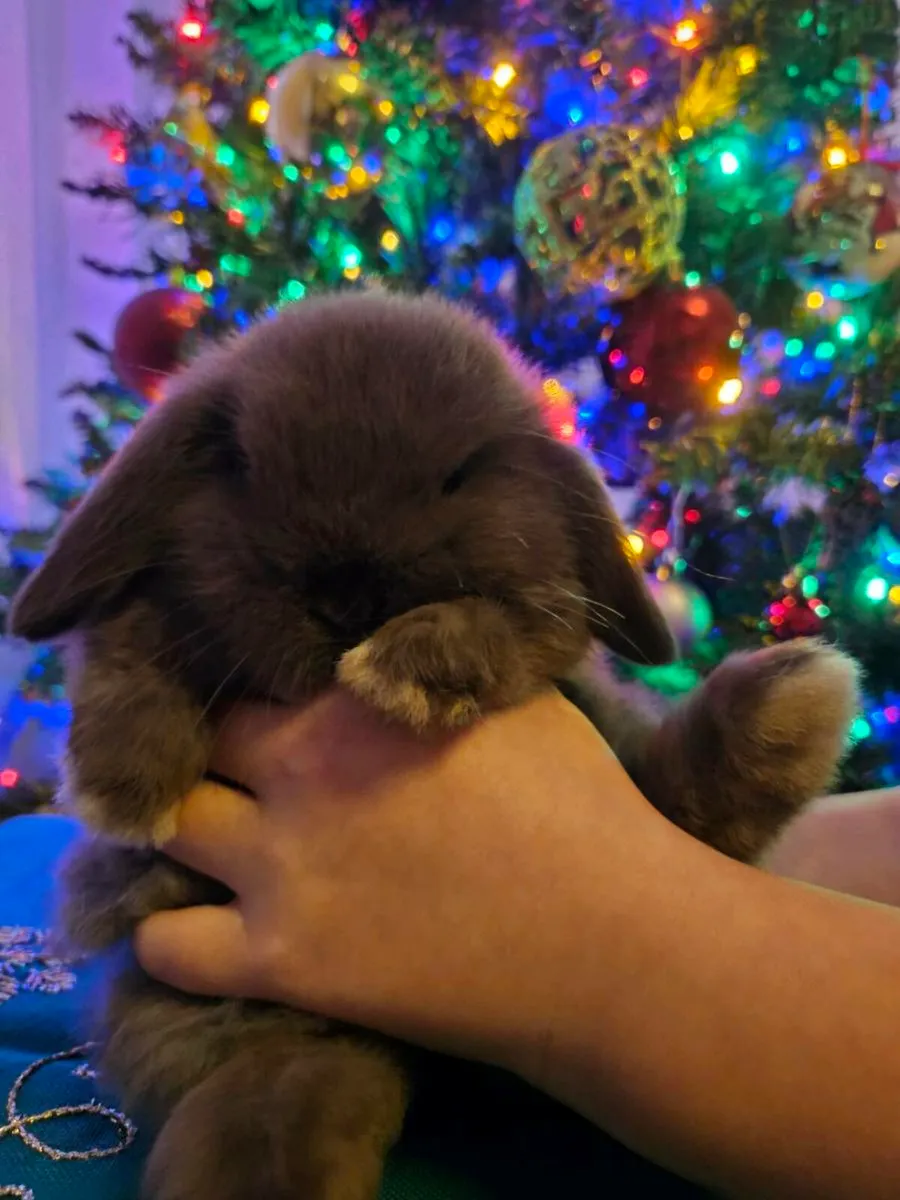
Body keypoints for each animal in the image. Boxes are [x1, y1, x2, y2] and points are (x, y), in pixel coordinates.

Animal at [10, 288, 859, 1200]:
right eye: (239, 466)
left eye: (462, 472)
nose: (348, 598)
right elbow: (125, 645)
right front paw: (123, 785)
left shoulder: (543, 643)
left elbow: (508, 627)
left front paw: (407, 668)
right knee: (284, 1089)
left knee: (682, 806)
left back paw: (788, 702)